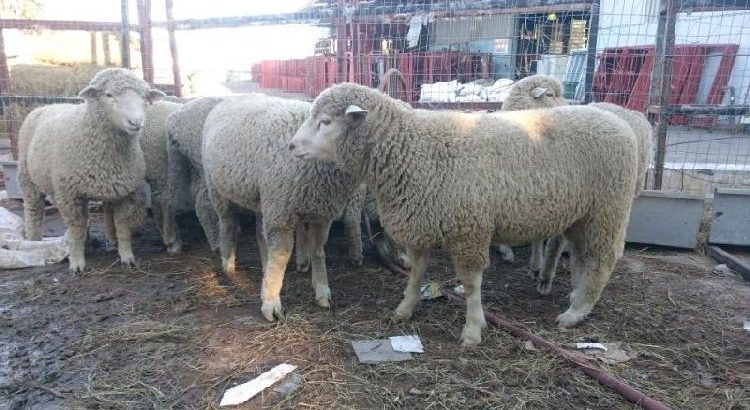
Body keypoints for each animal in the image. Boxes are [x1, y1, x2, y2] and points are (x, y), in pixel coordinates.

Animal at [18, 68, 165, 272]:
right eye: (108, 95)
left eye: (144, 96)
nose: (136, 122)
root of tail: (49, 105)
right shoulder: (70, 194)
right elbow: (76, 229)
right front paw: (77, 262)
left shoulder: (124, 192)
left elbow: (122, 227)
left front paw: (126, 255)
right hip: (29, 179)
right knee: (34, 210)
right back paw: (34, 242)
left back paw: (91, 241)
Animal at [202, 95, 360, 321]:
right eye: (326, 121)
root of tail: (228, 100)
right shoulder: (281, 211)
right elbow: (281, 255)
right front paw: (271, 303)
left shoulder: (322, 212)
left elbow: (318, 251)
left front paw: (322, 291)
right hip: (219, 188)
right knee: (227, 223)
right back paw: (228, 263)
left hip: (264, 197)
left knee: (260, 233)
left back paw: (263, 268)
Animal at [288, 83, 638, 346]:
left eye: (325, 121)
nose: (291, 146)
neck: (411, 147)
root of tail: (618, 122)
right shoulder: (422, 221)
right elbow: (417, 273)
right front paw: (405, 308)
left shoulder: (469, 228)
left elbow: (470, 284)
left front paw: (472, 329)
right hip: (582, 215)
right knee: (583, 257)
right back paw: (576, 296)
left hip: (608, 209)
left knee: (604, 260)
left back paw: (576, 312)